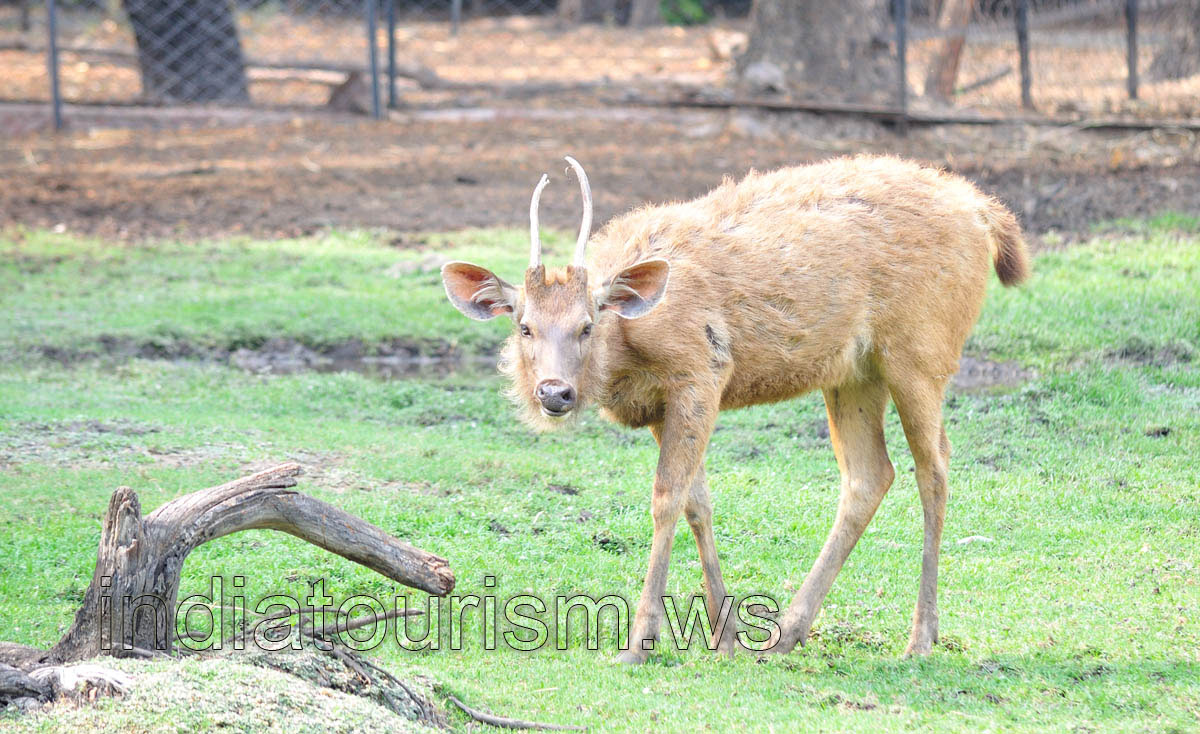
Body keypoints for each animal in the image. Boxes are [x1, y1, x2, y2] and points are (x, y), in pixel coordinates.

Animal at [441, 154, 1029, 663]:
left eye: (588, 324)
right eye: (524, 326)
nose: (554, 392)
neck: (630, 352)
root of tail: (986, 213)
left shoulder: (701, 371)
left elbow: (666, 498)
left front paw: (640, 641)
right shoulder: (663, 405)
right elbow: (698, 500)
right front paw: (722, 635)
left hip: (922, 349)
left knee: (935, 468)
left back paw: (921, 637)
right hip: (853, 373)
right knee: (870, 474)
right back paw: (788, 631)